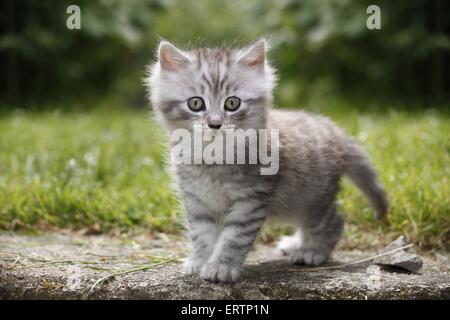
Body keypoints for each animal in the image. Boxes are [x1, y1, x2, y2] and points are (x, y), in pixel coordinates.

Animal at [146, 38, 388, 282]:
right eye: (196, 104)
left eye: (232, 103)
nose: (215, 124)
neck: (211, 157)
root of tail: (332, 130)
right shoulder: (196, 199)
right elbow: (201, 234)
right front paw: (199, 260)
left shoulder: (250, 201)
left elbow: (233, 238)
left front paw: (221, 266)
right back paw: (296, 243)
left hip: (312, 199)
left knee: (335, 222)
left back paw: (311, 251)